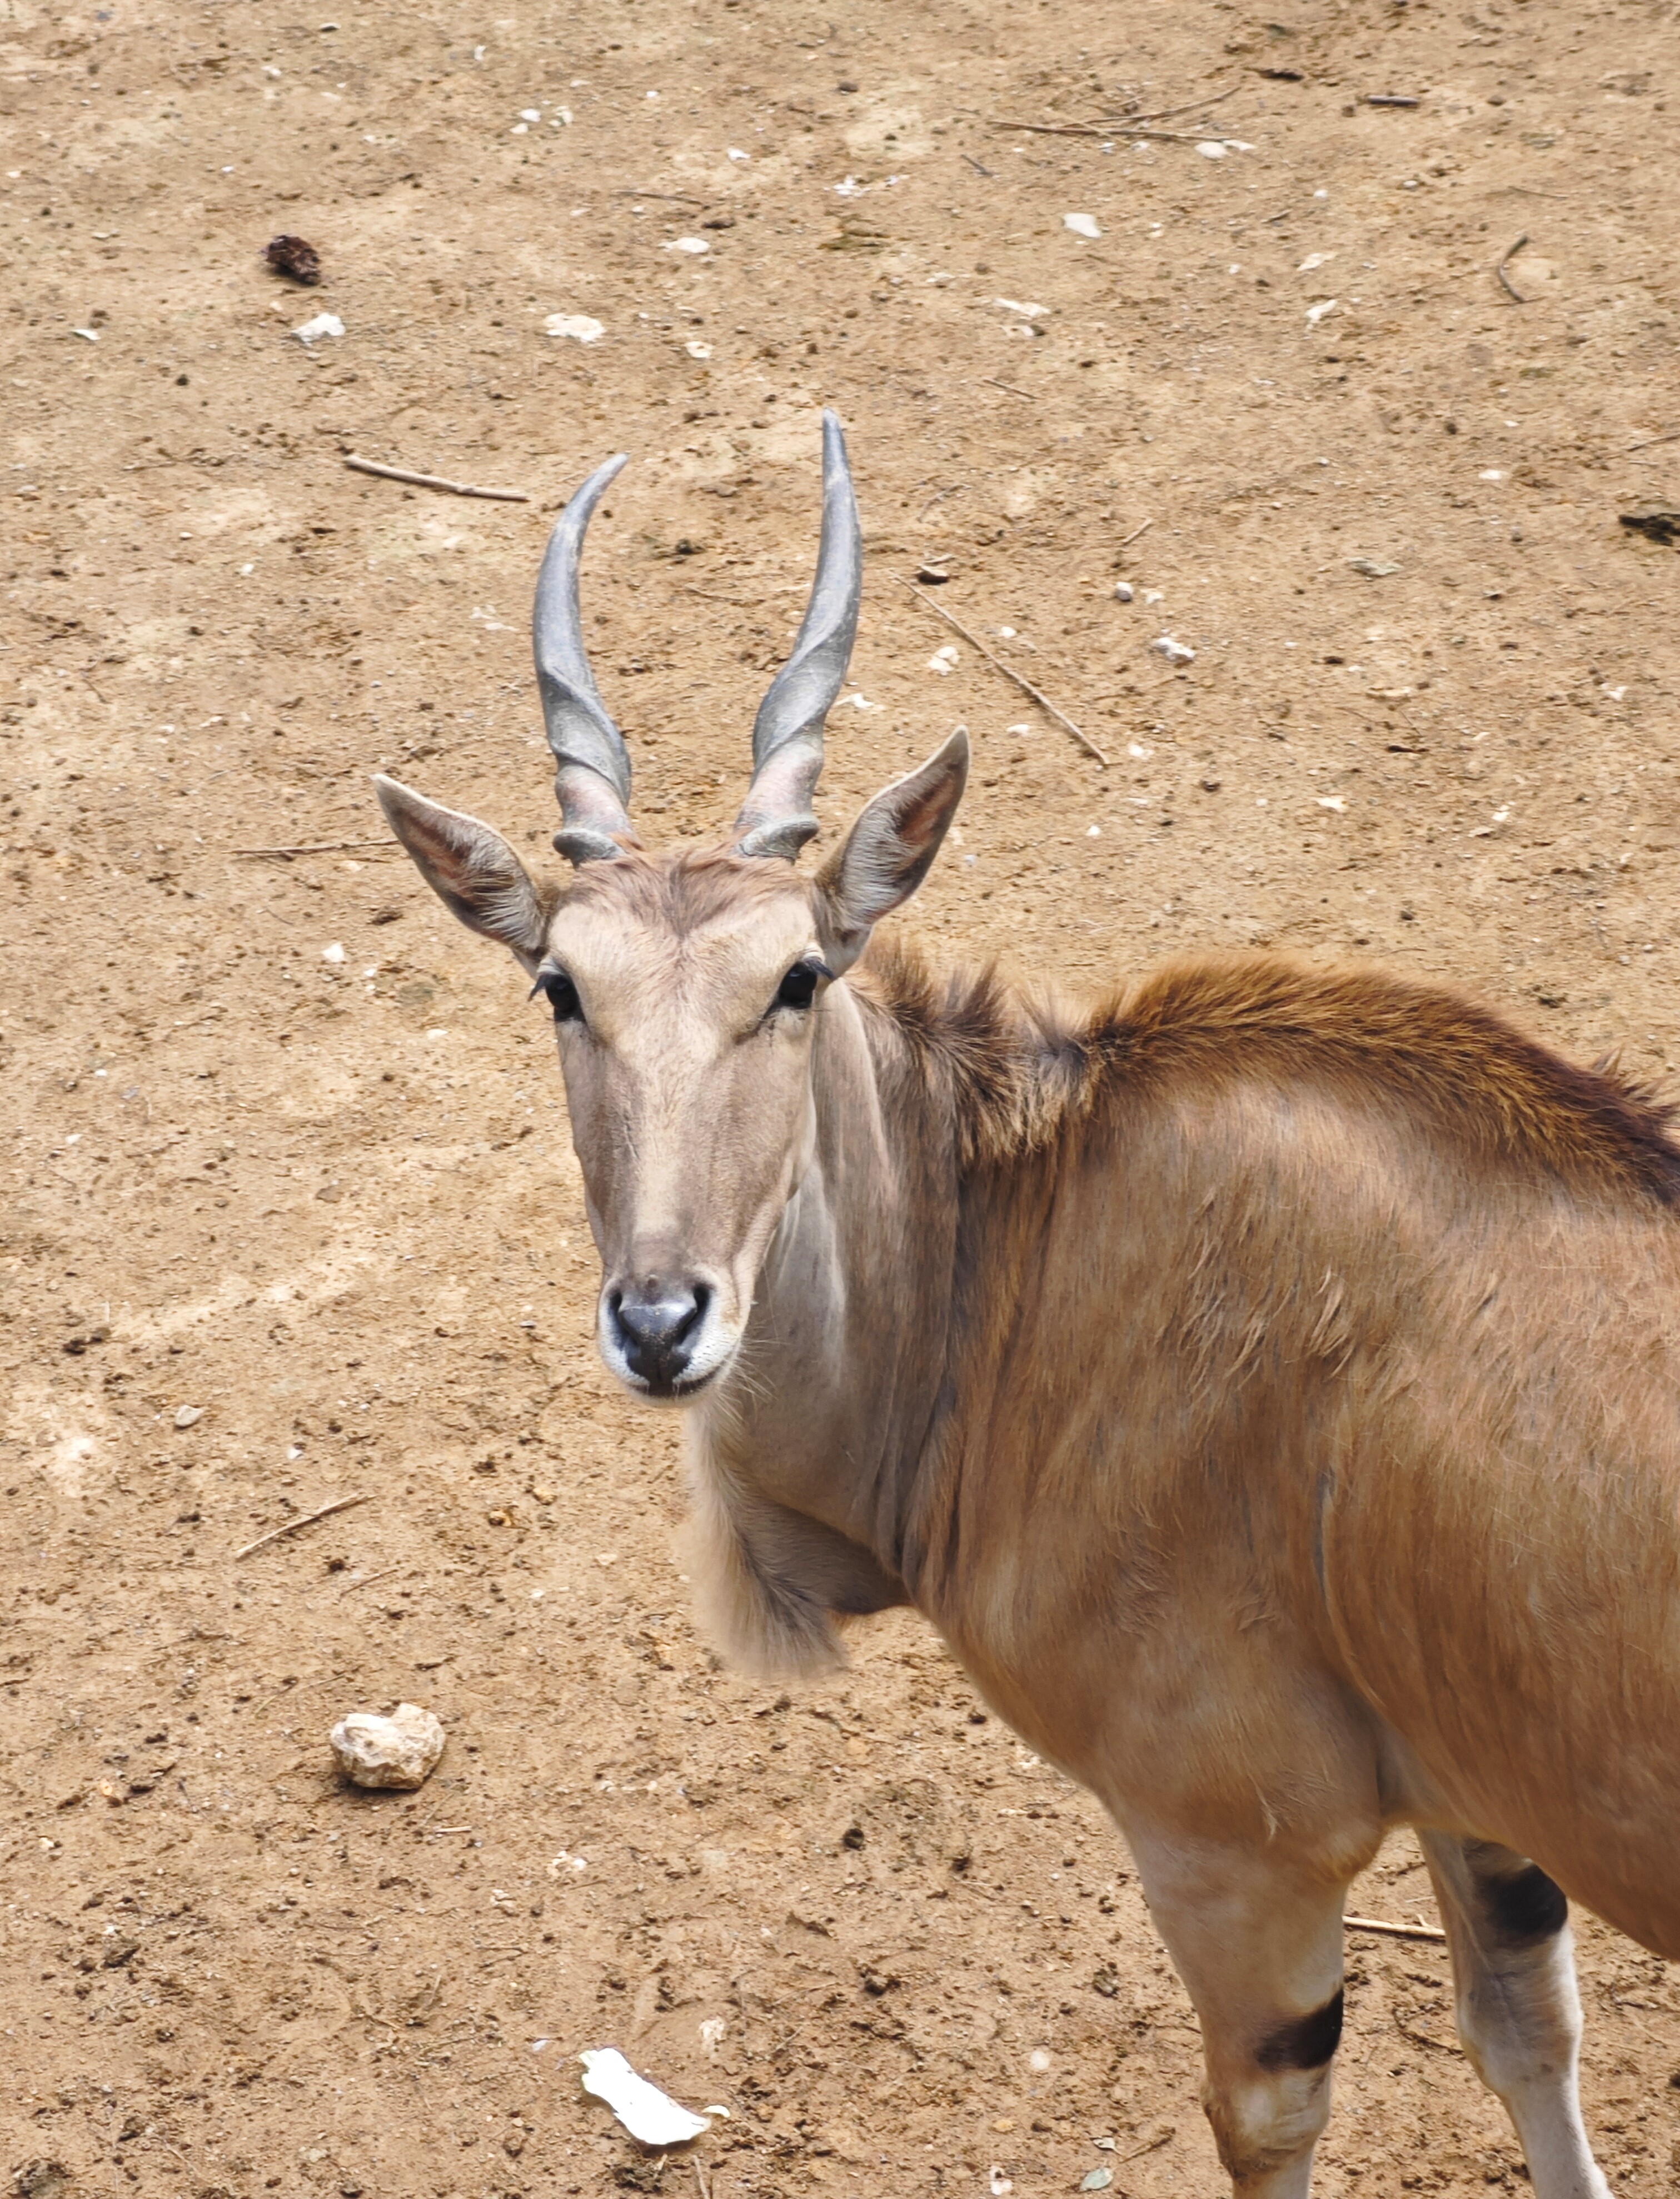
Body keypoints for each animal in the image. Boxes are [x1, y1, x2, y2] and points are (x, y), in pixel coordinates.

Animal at [378, 415, 1680, 2199]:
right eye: (559, 985)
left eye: (797, 977)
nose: (658, 1322)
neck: (1035, 1246)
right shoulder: (1477, 1803)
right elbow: (1525, 2036)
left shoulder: (1238, 1850)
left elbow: (1269, 2120)